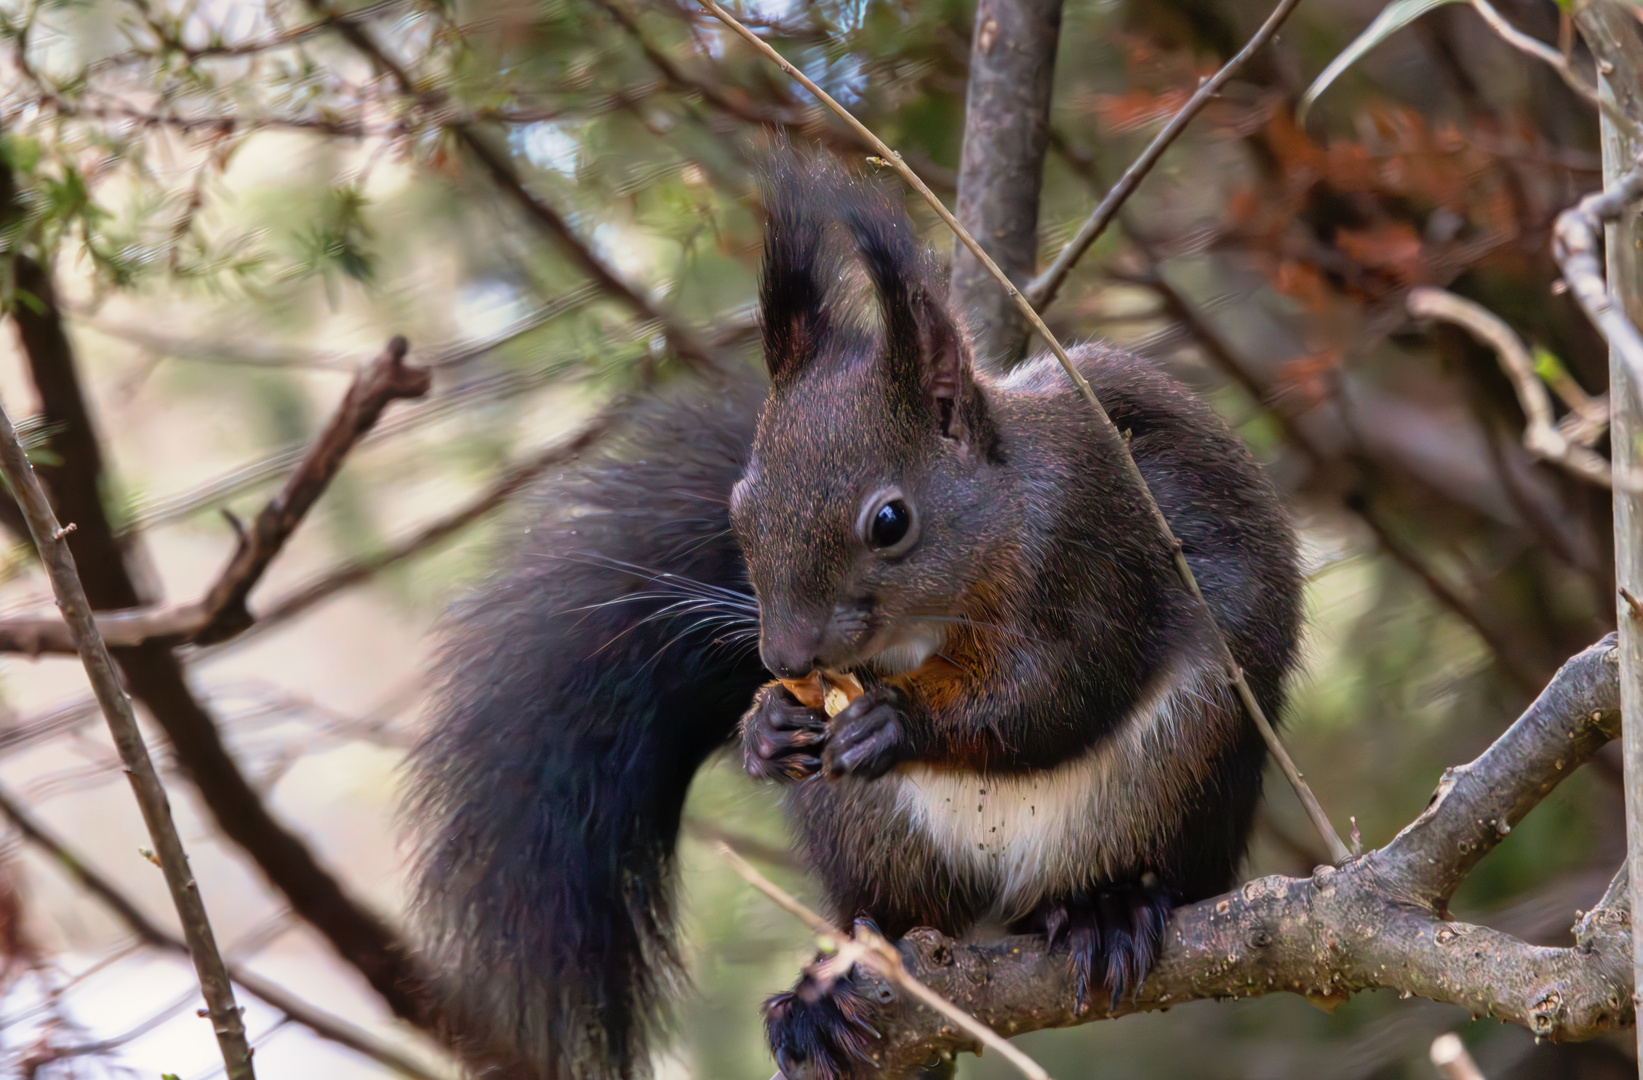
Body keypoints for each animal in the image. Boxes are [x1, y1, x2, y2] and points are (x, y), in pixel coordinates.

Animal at [407, 153, 1294, 1078]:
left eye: (890, 521)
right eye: (739, 507)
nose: (786, 655)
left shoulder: (1094, 550)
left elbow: (1058, 692)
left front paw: (895, 723)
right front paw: (766, 728)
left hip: (1176, 776)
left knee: (1151, 865)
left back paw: (1106, 909)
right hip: (862, 830)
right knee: (894, 915)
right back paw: (824, 995)